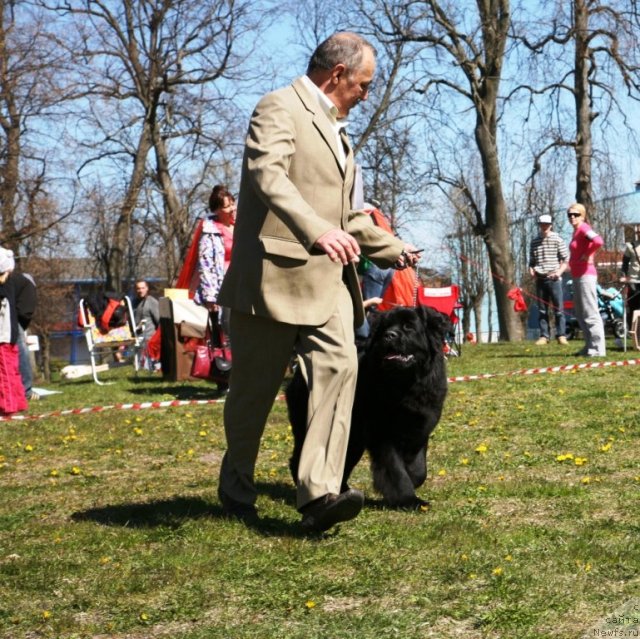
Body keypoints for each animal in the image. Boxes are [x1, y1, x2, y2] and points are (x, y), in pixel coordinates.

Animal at [284, 304, 450, 510]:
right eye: (385, 328)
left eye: (408, 327)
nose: (389, 335)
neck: (406, 385)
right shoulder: (382, 433)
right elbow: (395, 470)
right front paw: (408, 499)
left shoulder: (421, 427)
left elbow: (420, 469)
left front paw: (413, 479)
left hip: (352, 439)